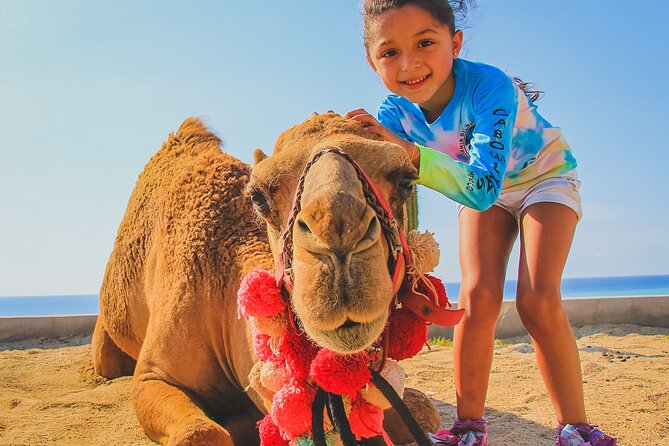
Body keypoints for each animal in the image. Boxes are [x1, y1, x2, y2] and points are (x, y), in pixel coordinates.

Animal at [93, 113, 441, 445]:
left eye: (406, 180)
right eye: (258, 196)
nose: (338, 231)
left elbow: (422, 410)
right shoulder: (153, 374)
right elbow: (202, 432)